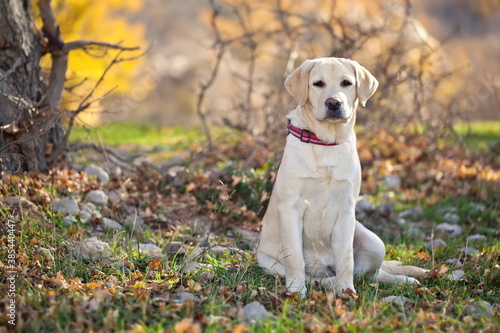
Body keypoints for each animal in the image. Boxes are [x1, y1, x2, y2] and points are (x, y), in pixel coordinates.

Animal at [258, 56, 426, 296]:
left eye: (346, 83)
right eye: (318, 83)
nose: (333, 103)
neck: (326, 143)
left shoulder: (346, 210)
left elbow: (347, 259)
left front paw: (346, 291)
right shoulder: (290, 208)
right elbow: (295, 258)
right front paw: (295, 291)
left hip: (374, 241)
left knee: (371, 274)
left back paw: (403, 280)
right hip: (267, 261)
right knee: (314, 277)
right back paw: (325, 283)